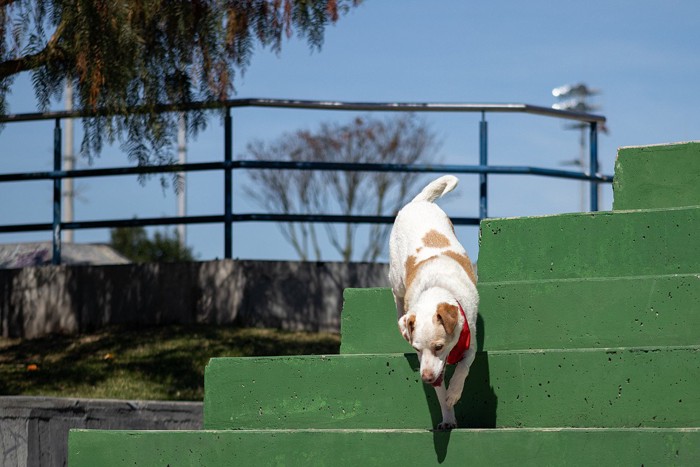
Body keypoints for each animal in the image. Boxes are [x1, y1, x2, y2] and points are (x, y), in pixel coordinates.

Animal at [388, 176, 482, 432]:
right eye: (417, 349)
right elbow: (440, 395)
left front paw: (453, 393)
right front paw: (448, 415)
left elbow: (463, 368)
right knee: (396, 294)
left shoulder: (470, 343)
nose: (427, 378)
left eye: (439, 346)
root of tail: (417, 203)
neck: (436, 288)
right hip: (397, 277)